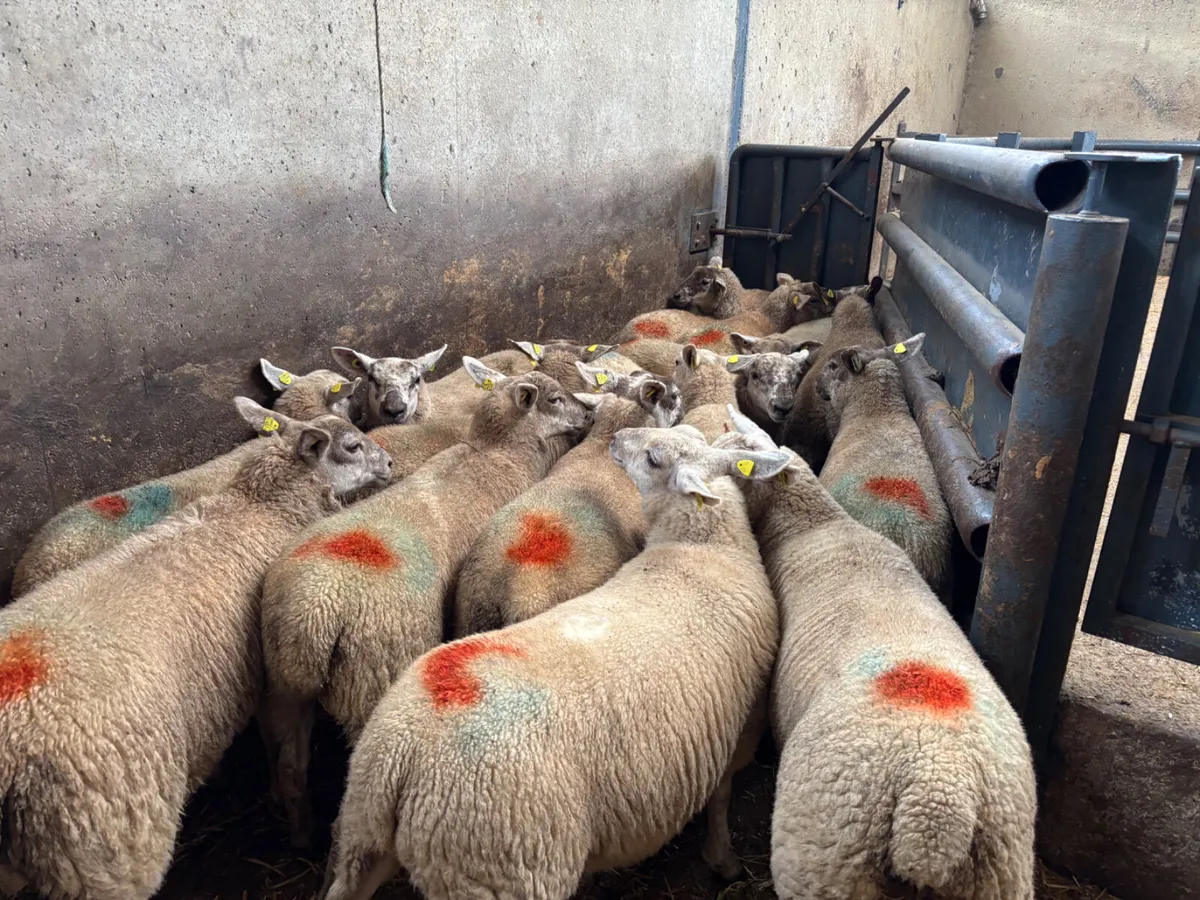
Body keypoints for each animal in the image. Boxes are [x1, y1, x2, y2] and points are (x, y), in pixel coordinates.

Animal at [0, 399, 391, 900]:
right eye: (353, 445)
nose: (390, 464)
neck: (263, 508)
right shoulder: (275, 679)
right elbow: (289, 762)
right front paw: (301, 830)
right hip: (104, 846)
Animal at [258, 360, 593, 847]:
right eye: (554, 399)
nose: (589, 415)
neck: (497, 453)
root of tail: (315, 613)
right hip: (374, 675)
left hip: (284, 682)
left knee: (289, 768)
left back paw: (301, 834)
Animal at [317, 424, 790, 900]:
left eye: (655, 458)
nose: (617, 436)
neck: (703, 551)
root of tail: (398, 756)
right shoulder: (742, 727)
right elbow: (722, 797)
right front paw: (723, 859)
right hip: (508, 864)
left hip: (365, 835)